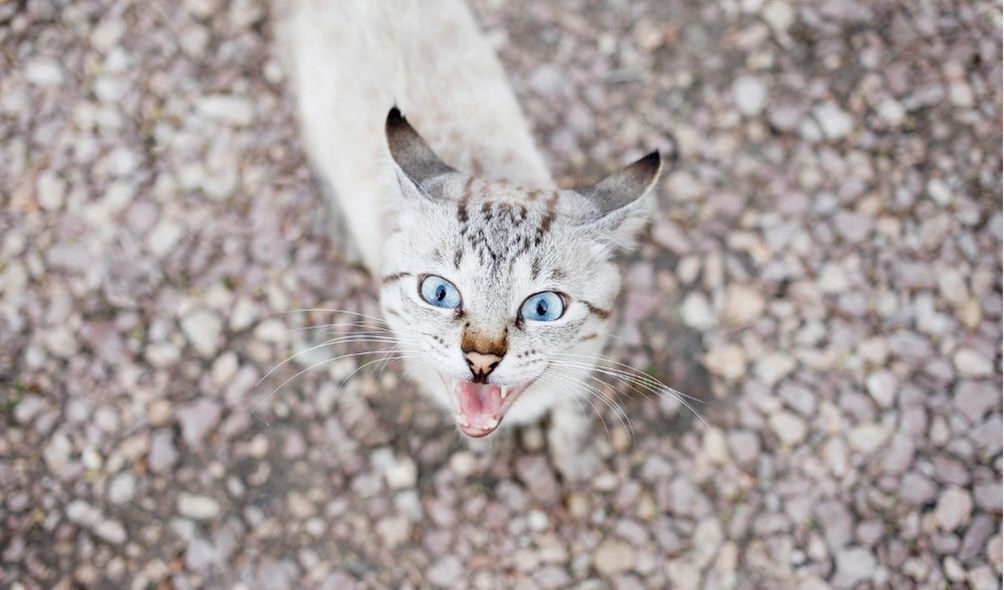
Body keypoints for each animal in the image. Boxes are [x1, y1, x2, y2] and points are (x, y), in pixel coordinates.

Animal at [279, 0, 662, 477]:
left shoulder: (584, 365)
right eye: (439, 293)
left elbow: (572, 407)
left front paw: (576, 460)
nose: (481, 361)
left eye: (543, 308)